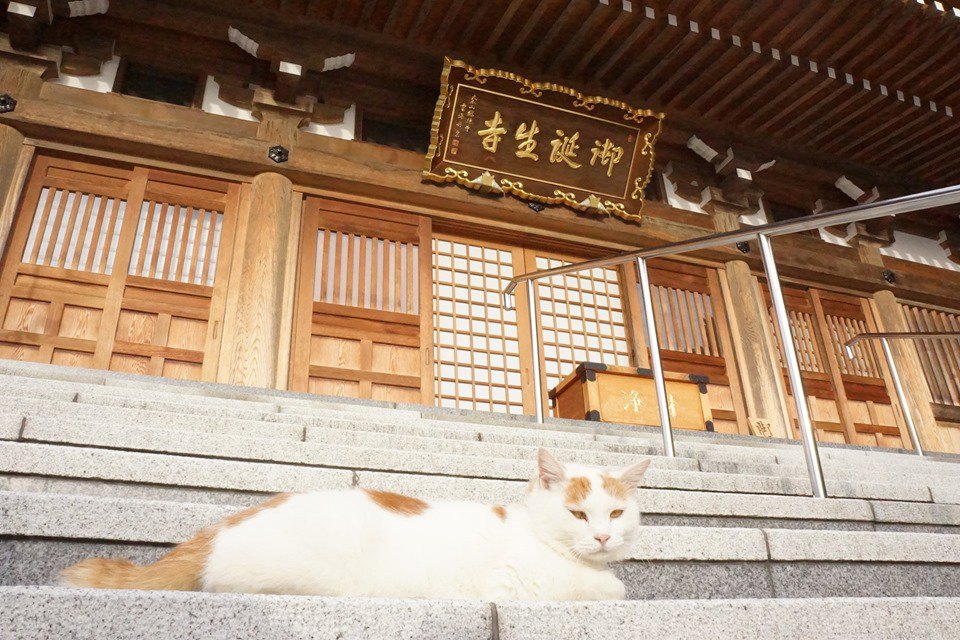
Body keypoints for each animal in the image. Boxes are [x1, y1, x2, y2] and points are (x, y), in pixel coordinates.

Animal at [62, 450, 652, 600]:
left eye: (616, 513)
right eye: (578, 513)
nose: (603, 536)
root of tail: (216, 531)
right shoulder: (515, 584)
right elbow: (611, 589)